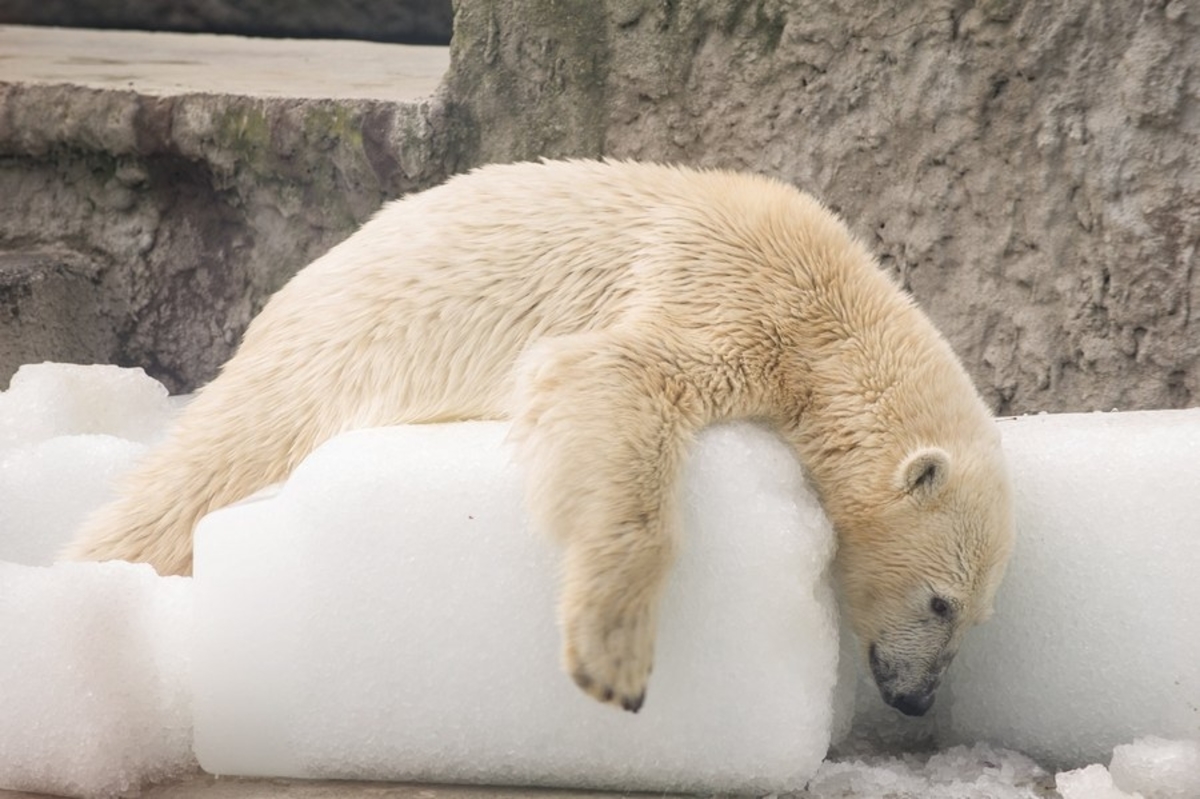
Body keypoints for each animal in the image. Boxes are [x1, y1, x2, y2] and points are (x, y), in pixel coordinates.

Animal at [70, 158, 1012, 710]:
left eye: (976, 614)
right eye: (941, 600)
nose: (918, 699)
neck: (836, 309)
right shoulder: (728, 294)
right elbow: (611, 375)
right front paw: (614, 658)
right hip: (314, 367)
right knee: (197, 477)